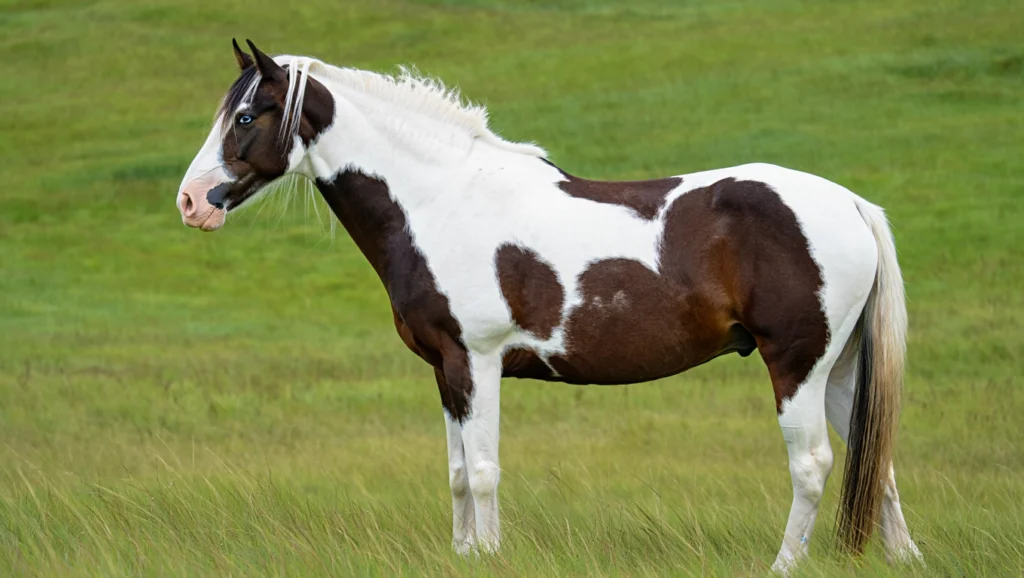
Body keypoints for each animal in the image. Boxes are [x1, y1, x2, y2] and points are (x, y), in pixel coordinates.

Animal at [175, 40, 922, 572]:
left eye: (245, 116)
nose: (190, 202)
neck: (442, 199)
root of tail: (851, 204)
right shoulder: (445, 370)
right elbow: (456, 473)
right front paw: (464, 556)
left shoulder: (476, 362)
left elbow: (482, 472)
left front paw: (488, 556)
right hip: (841, 369)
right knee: (875, 458)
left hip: (796, 365)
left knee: (814, 465)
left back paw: (783, 564)